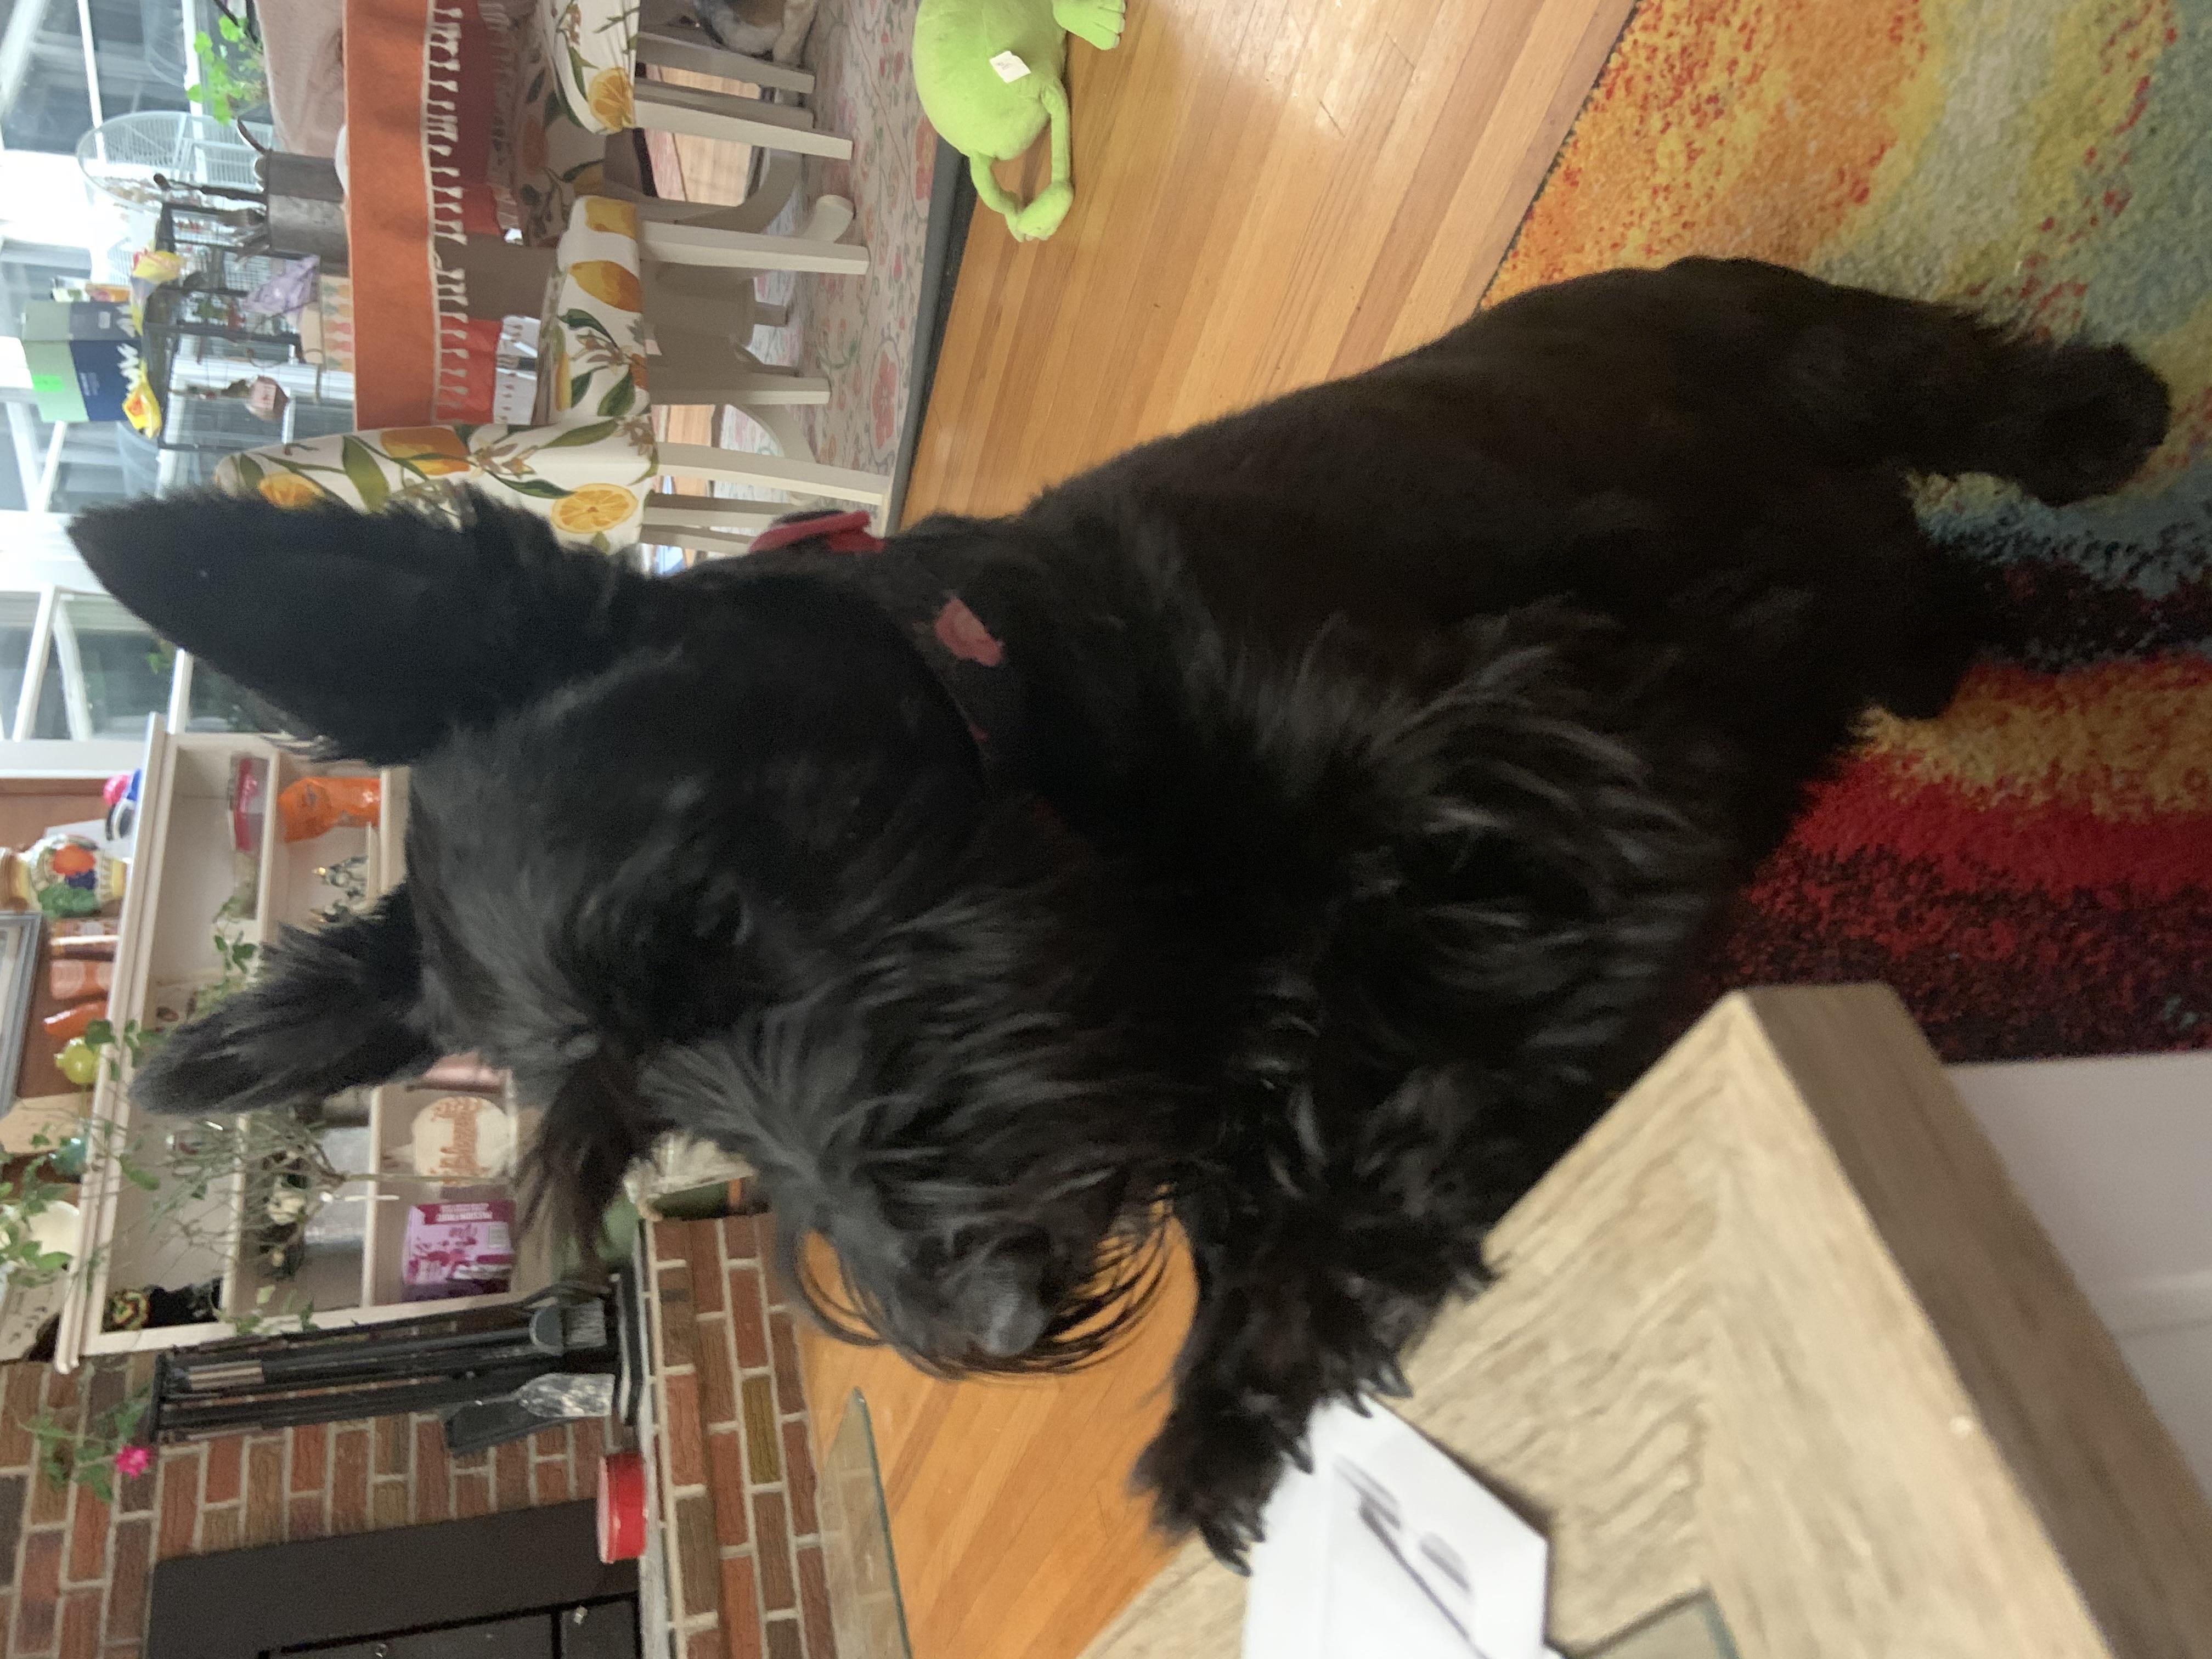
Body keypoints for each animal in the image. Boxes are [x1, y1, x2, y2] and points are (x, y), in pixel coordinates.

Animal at [71, 258, 2168, 1565]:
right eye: (649, 1135)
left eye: (701, 923)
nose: (977, 1321)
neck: (1029, 714)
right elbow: (1263, 1094)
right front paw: (1255, 1373)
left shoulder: (1530, 755)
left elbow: (1394, 1002)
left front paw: (1313, 1290)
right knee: (1920, 584)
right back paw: (2003, 636)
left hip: (1805, 354)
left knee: (1963, 386)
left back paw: (2105, 432)